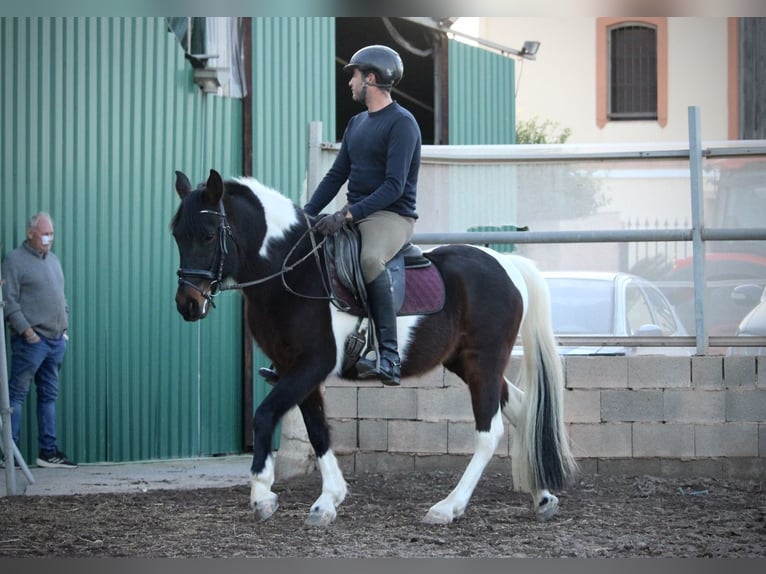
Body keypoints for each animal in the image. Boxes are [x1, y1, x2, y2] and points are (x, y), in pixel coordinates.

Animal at [171, 168, 580, 528]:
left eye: (208, 235)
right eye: (177, 235)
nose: (187, 305)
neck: (292, 272)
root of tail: (506, 263)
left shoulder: (311, 364)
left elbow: (264, 415)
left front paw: (262, 496)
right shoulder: (293, 368)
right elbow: (317, 430)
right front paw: (328, 501)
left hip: (485, 360)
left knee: (488, 431)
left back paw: (447, 508)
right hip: (465, 362)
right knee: (523, 409)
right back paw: (543, 497)